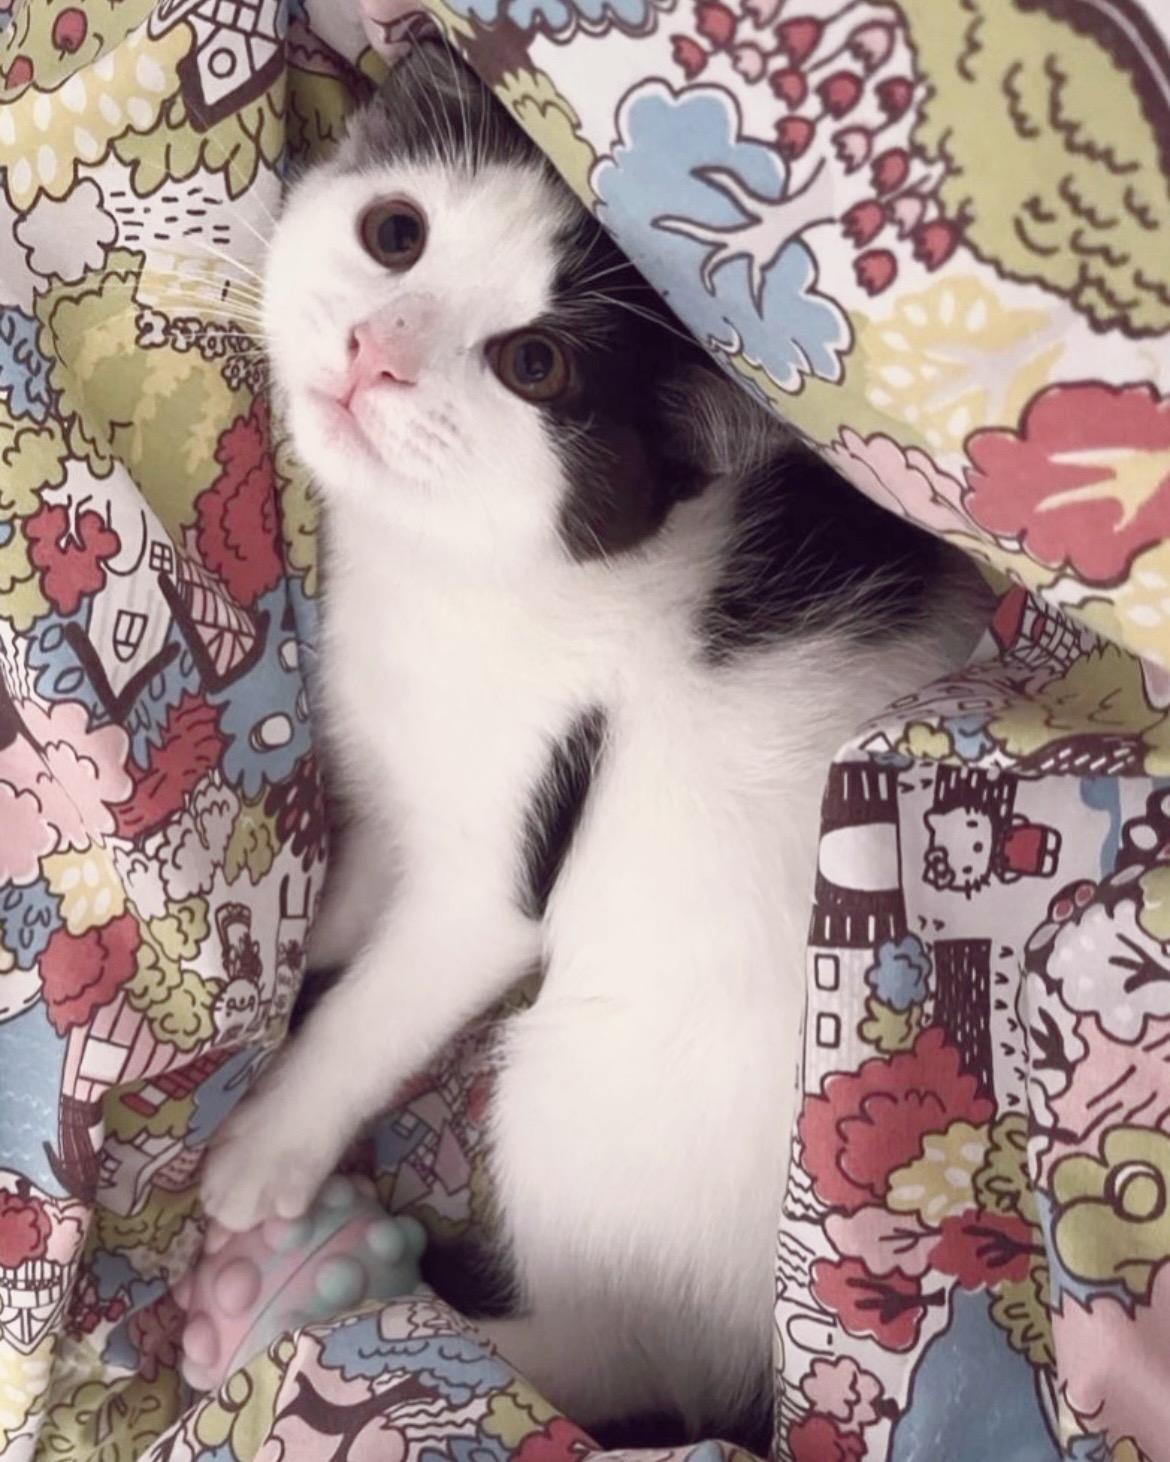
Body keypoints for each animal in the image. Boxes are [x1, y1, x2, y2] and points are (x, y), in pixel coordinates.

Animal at [203, 40, 988, 1444]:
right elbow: (366, 882)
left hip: (591, 1091)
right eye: (395, 234)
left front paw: (264, 1138)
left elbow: (391, 1000)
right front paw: (309, 943)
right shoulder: (400, 783)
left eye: (535, 369)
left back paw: (279, 1302)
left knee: (609, 1355)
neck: (453, 582)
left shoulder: (504, 861)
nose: (372, 351)